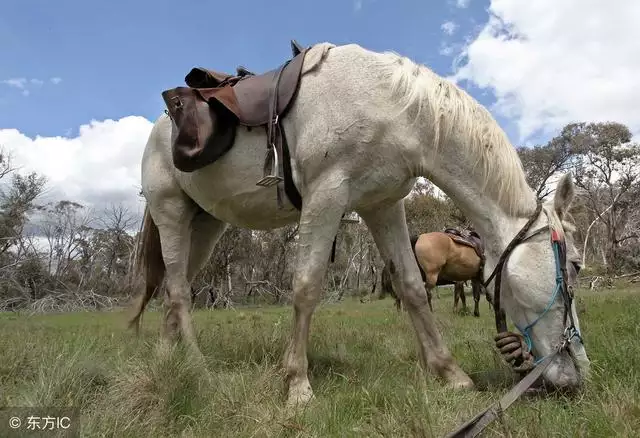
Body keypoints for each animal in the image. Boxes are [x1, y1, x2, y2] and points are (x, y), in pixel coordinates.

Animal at [129, 41, 592, 408]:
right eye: (573, 266)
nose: (577, 376)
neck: (391, 106)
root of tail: (161, 126)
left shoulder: (383, 205)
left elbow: (412, 288)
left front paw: (451, 374)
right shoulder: (326, 197)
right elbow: (306, 287)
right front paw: (297, 385)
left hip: (205, 226)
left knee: (172, 291)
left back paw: (167, 362)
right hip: (171, 214)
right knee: (178, 292)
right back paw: (199, 369)